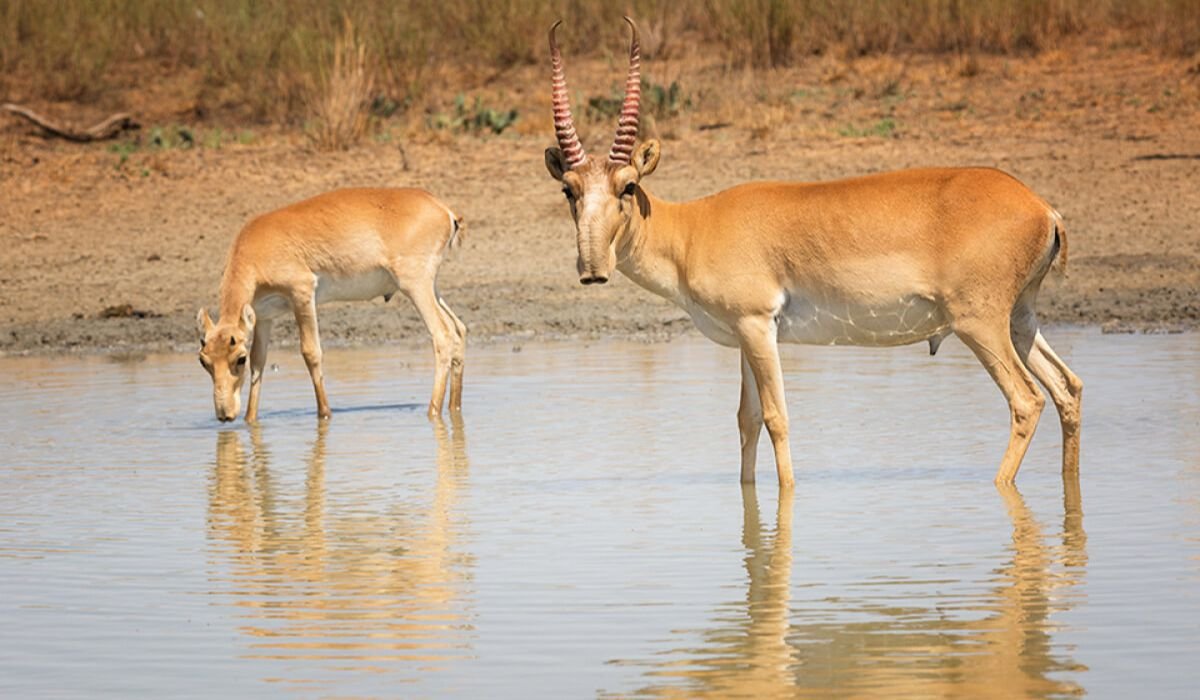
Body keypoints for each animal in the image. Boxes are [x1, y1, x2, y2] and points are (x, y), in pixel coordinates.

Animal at [196, 186, 463, 425]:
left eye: (238, 359)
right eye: (203, 360)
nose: (225, 415)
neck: (255, 245)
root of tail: (444, 210)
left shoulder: (302, 295)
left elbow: (311, 352)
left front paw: (324, 413)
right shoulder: (264, 317)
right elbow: (259, 362)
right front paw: (250, 420)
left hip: (416, 287)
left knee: (442, 335)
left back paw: (433, 411)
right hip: (431, 288)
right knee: (458, 329)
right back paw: (454, 407)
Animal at [544, 17, 1080, 487]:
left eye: (628, 186)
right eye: (569, 189)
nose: (592, 269)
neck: (693, 229)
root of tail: (1041, 207)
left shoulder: (757, 326)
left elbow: (776, 417)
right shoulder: (747, 337)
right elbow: (747, 420)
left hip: (979, 325)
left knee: (1027, 401)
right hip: (1020, 321)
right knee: (1067, 389)